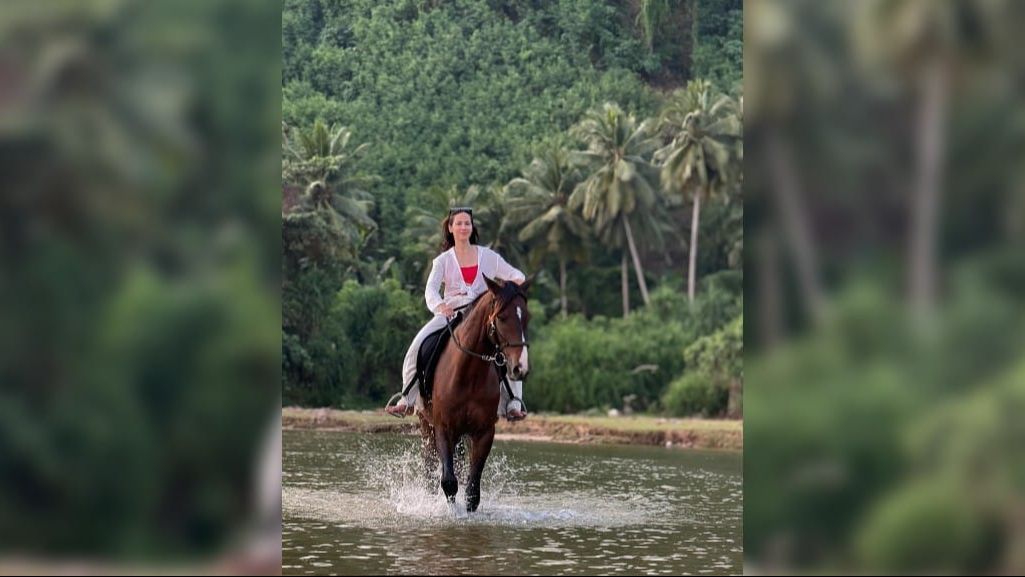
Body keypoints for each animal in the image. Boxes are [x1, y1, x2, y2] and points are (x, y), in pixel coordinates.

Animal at [416, 276, 533, 512]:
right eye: (502, 317)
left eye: (526, 317)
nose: (520, 368)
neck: (468, 374)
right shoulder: (443, 428)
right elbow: (449, 482)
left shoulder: (484, 432)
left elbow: (472, 491)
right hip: (427, 426)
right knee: (430, 469)